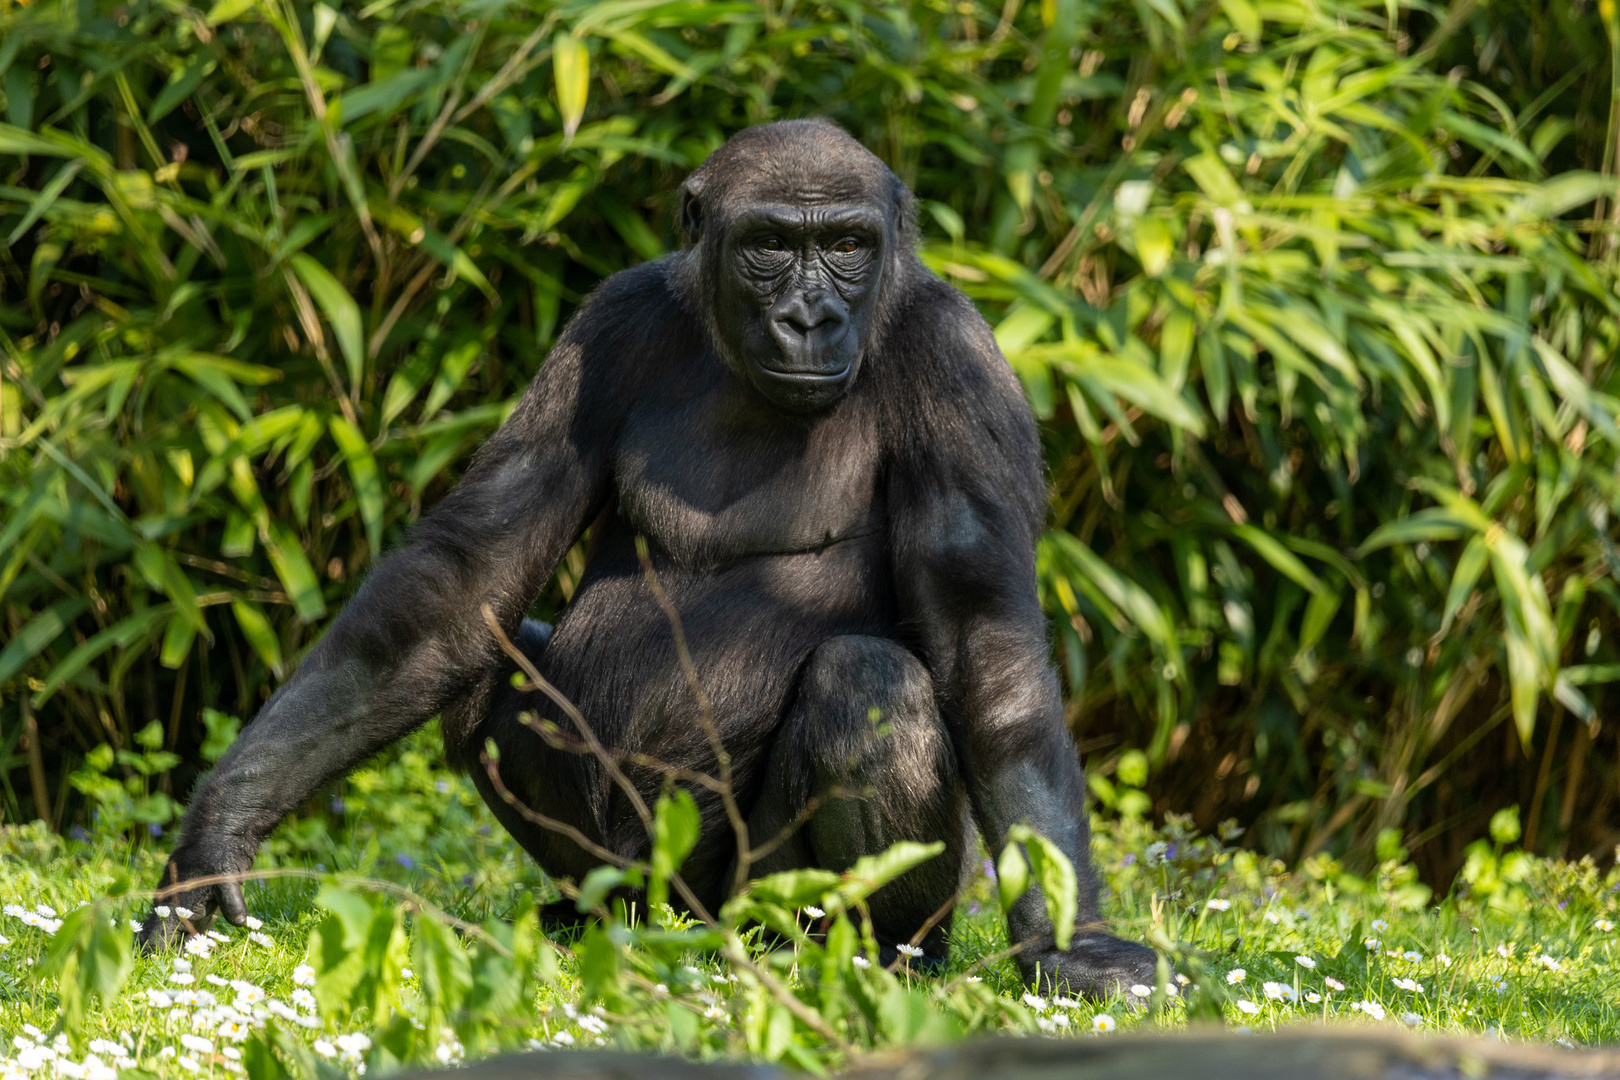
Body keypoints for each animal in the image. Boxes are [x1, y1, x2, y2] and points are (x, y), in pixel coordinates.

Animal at [139, 118, 1153, 997]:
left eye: (849, 244)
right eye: (771, 243)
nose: (811, 315)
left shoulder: (959, 365)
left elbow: (984, 645)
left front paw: (1074, 944)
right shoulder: (611, 324)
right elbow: (469, 578)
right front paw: (219, 832)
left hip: (745, 904)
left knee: (869, 687)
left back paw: (874, 954)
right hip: (632, 882)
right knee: (492, 651)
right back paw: (579, 915)